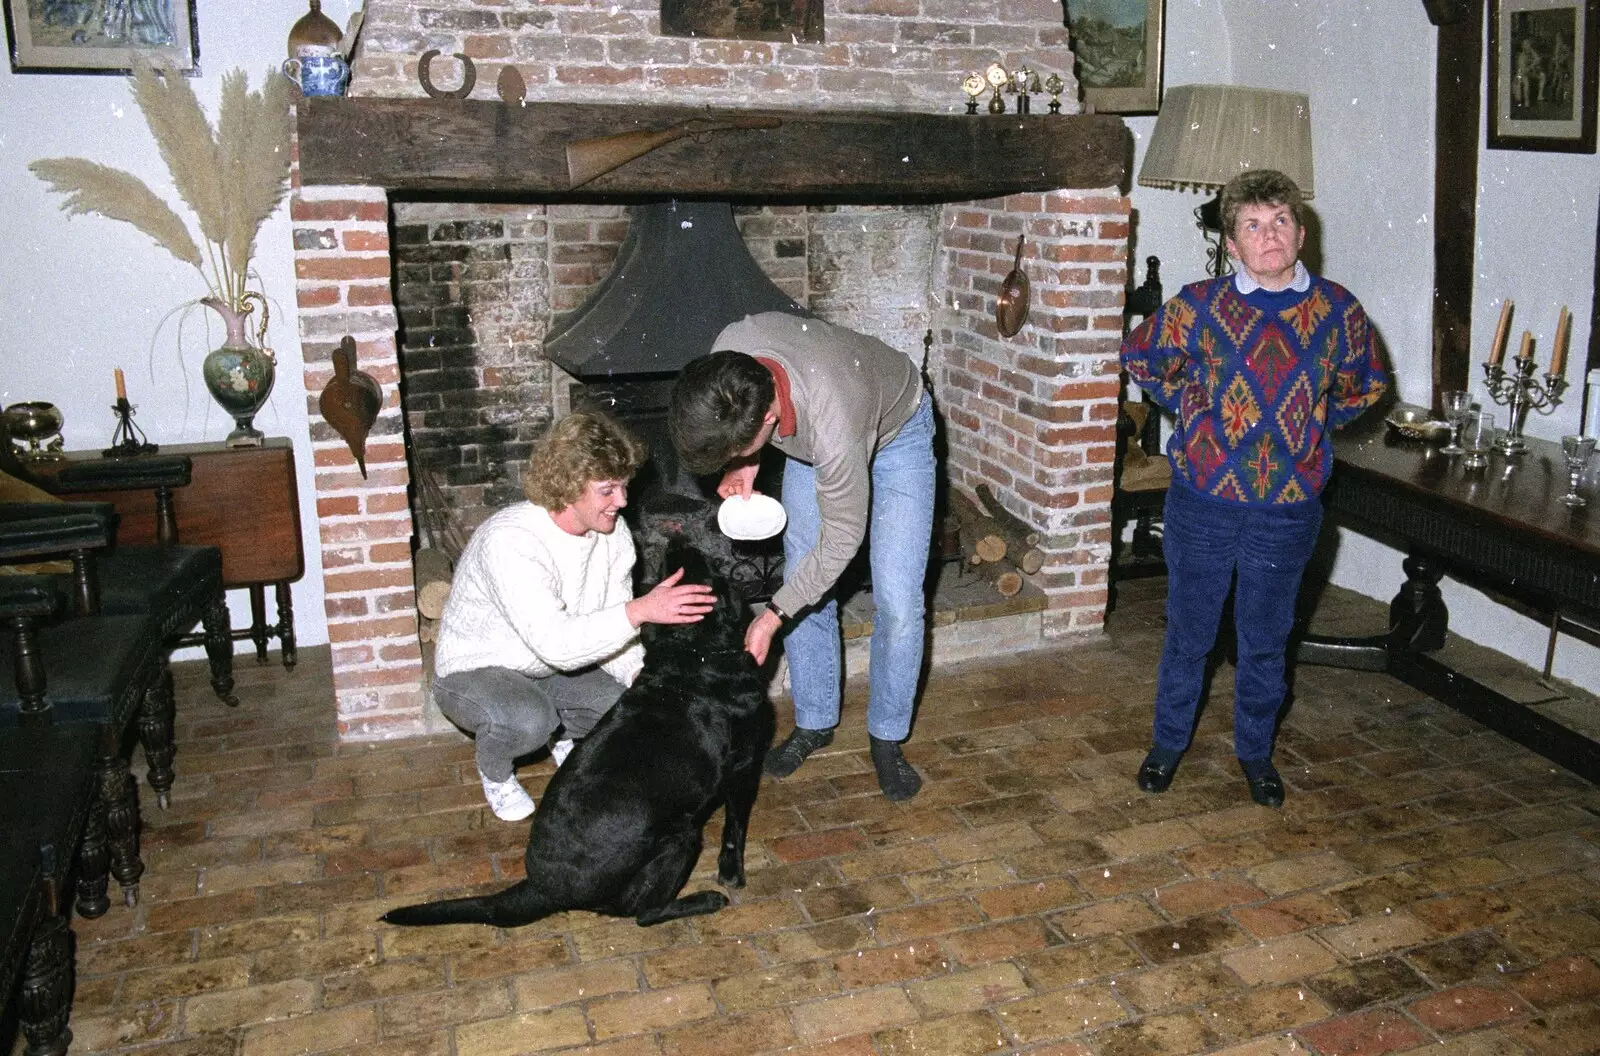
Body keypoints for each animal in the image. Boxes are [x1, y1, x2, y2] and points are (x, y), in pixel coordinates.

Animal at [380, 540, 768, 928]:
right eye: (709, 569)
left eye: (668, 570)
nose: (679, 540)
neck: (693, 653)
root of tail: (542, 888)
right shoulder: (745, 766)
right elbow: (735, 828)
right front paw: (732, 873)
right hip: (681, 836)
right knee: (643, 913)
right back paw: (704, 899)